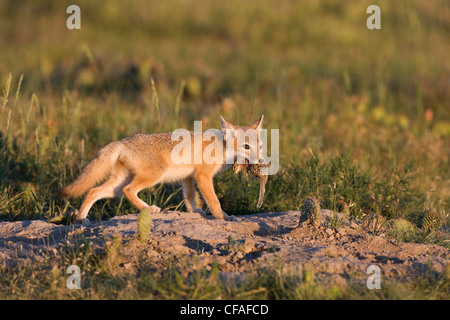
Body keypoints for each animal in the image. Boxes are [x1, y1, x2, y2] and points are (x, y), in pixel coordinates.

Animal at [57, 115, 266, 225]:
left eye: (260, 146)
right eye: (246, 147)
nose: (261, 161)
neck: (221, 146)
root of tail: (121, 142)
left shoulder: (188, 177)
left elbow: (189, 197)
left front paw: (195, 211)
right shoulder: (203, 176)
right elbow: (214, 201)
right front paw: (224, 217)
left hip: (116, 186)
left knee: (93, 191)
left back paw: (81, 218)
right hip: (153, 176)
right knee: (128, 191)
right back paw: (149, 209)